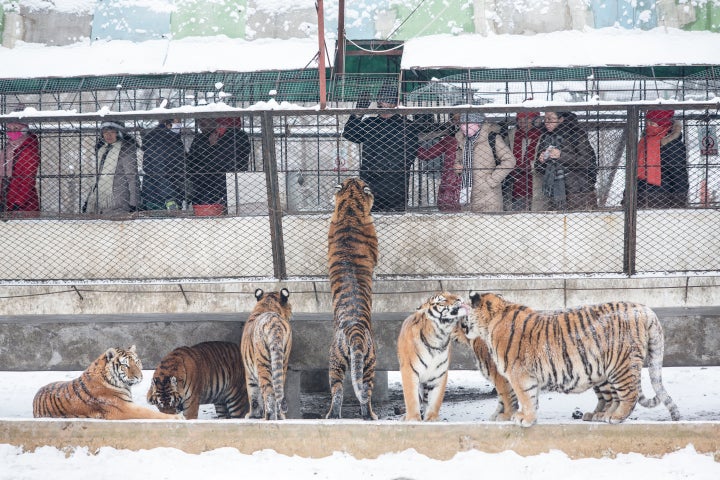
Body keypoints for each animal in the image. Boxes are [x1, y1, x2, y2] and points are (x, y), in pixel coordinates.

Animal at [33, 344, 183, 420]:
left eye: (137, 362)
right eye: (125, 365)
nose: (139, 377)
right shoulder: (123, 409)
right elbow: (149, 413)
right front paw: (177, 417)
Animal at [238, 286, 292, 418]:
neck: (268, 303)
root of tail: (275, 324)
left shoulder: (249, 372)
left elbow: (253, 395)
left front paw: (252, 415)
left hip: (263, 364)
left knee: (269, 394)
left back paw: (268, 418)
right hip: (282, 361)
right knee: (278, 391)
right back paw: (280, 417)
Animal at [396, 292, 470, 420]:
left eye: (450, 294)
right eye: (442, 300)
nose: (459, 298)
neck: (439, 336)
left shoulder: (439, 375)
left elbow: (435, 400)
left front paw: (432, 419)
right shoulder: (409, 371)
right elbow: (411, 399)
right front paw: (413, 419)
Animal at [462, 292, 680, 428]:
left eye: (463, 311)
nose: (463, 327)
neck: (490, 322)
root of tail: (645, 309)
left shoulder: (519, 374)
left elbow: (524, 397)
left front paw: (524, 419)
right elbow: (531, 398)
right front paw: (529, 417)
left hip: (622, 365)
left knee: (629, 394)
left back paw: (615, 417)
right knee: (615, 397)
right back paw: (602, 416)